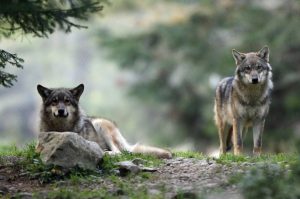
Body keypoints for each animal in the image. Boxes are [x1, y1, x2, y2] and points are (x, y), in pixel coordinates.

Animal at [36, 84, 172, 159]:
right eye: (54, 101)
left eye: (67, 101)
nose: (61, 111)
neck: (61, 129)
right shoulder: (38, 147)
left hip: (100, 124)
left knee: (118, 152)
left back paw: (104, 152)